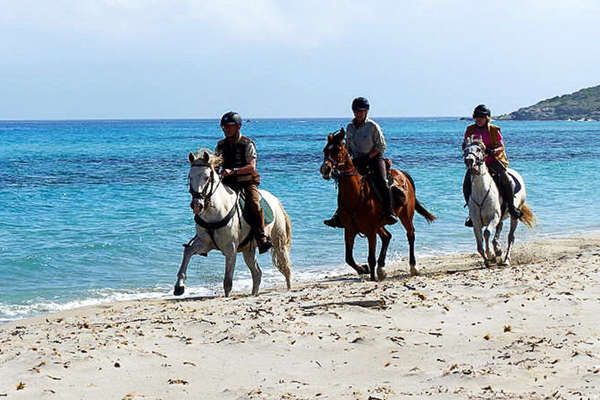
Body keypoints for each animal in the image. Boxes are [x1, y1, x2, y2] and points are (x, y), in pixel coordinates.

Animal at [172, 150, 292, 296]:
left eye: (207, 177)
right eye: (190, 177)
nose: (197, 205)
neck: (216, 212)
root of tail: (276, 201)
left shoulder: (231, 249)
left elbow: (227, 281)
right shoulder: (204, 244)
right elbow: (187, 252)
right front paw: (179, 286)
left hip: (278, 241)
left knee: (285, 265)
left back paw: (289, 288)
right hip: (248, 250)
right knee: (257, 273)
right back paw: (254, 293)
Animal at [318, 130, 436, 280]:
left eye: (338, 150)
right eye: (325, 150)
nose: (325, 169)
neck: (356, 195)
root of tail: (403, 175)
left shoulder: (370, 231)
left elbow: (370, 257)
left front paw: (372, 277)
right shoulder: (349, 230)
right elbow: (349, 258)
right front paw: (363, 269)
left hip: (406, 215)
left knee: (410, 235)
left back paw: (413, 267)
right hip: (380, 224)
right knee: (387, 237)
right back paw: (381, 269)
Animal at [464, 139, 536, 268]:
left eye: (479, 150)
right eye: (465, 150)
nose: (469, 160)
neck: (481, 192)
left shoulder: (494, 217)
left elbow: (487, 233)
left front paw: (491, 255)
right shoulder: (476, 222)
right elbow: (479, 246)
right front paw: (488, 260)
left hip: (514, 215)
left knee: (511, 237)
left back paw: (506, 259)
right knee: (499, 229)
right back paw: (498, 249)